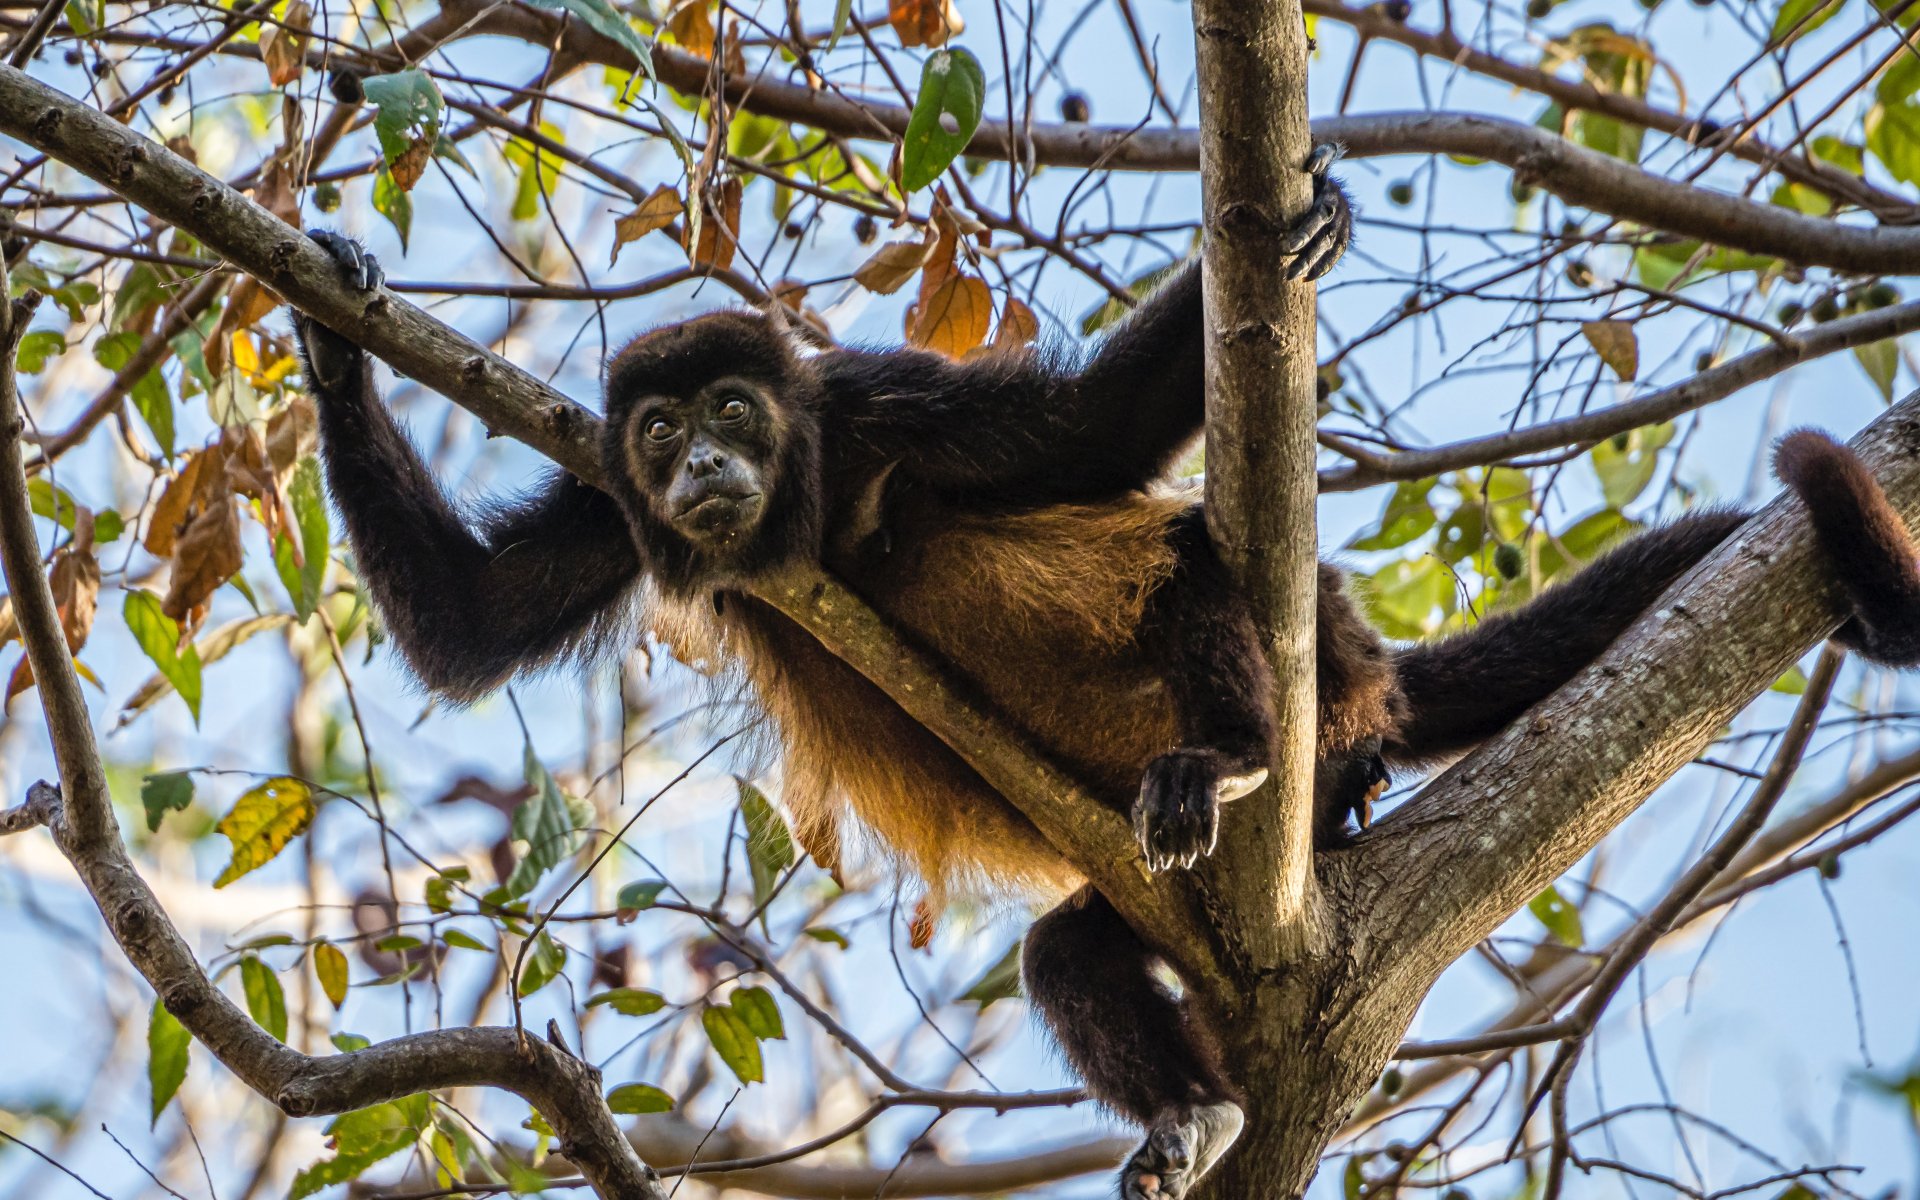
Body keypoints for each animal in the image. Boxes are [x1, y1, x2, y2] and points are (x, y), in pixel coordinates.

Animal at [288, 156, 1920, 1199]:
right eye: (660, 429)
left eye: (738, 412)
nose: (698, 468)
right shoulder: (606, 509)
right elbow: (472, 622)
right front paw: (326, 326)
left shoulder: (880, 405)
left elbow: (1090, 437)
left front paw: (1299, 230)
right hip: (1149, 879)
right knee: (1069, 955)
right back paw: (1195, 1112)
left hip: (1317, 688)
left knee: (1201, 560)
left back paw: (1241, 755)